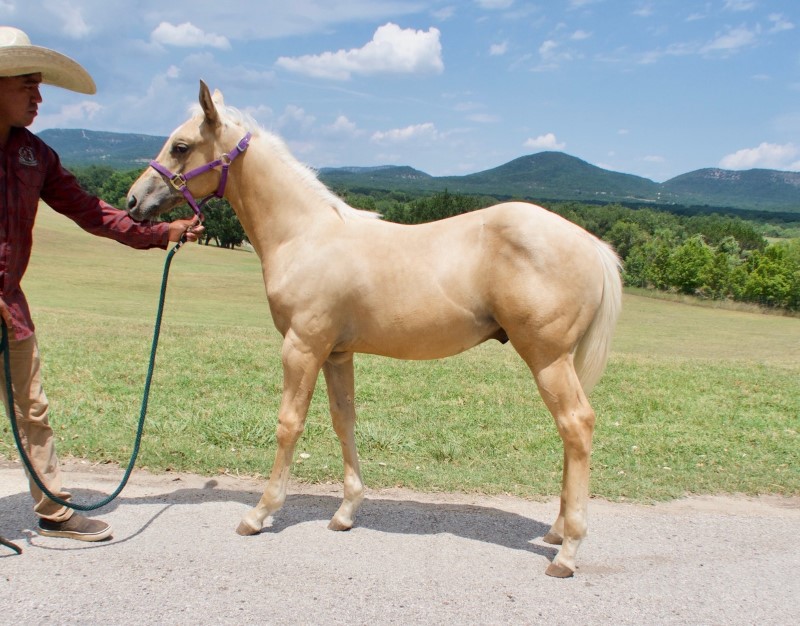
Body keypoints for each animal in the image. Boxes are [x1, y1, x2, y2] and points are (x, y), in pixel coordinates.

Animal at [126, 81, 624, 576]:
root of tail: (590, 243)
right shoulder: (336, 352)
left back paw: (567, 551)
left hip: (547, 357)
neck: (305, 235)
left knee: (576, 425)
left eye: (180, 146)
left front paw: (259, 513)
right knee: (569, 434)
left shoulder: (302, 347)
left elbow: (289, 424)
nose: (133, 200)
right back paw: (557, 531)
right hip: (558, 361)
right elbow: (343, 420)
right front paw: (346, 512)